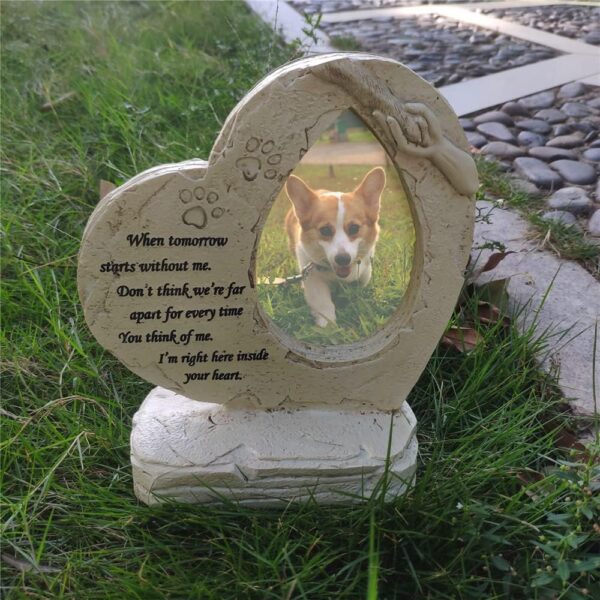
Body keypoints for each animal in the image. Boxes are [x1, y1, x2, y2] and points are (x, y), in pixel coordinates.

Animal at [284, 166, 384, 328]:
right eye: (325, 230)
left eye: (354, 228)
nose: (343, 259)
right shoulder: (312, 276)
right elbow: (323, 304)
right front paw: (328, 326)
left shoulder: (365, 272)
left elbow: (361, 284)